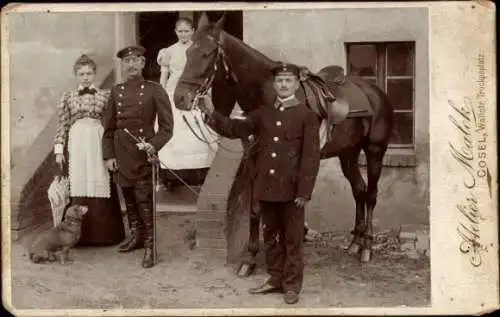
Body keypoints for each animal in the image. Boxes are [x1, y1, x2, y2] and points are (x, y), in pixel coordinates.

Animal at [174, 12, 392, 274]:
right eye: (188, 52)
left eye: (207, 53)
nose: (180, 98)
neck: (269, 96)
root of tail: (375, 92)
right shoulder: (254, 161)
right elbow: (256, 209)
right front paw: (251, 258)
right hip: (348, 154)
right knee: (359, 190)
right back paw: (355, 243)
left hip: (375, 152)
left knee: (371, 194)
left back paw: (367, 247)